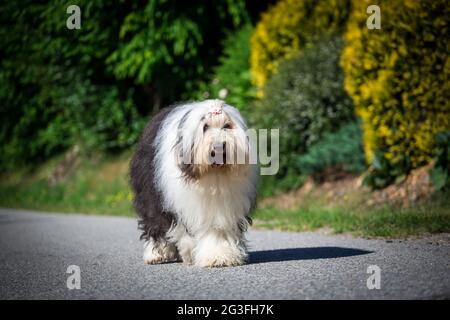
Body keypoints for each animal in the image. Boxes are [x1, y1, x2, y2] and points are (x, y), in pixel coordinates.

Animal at [130, 99, 256, 266]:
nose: (219, 145)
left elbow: (217, 229)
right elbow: (182, 231)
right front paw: (190, 251)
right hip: (151, 193)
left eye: (227, 126)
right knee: (155, 222)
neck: (213, 175)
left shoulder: (222, 208)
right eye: (205, 127)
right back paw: (156, 255)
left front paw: (219, 255)